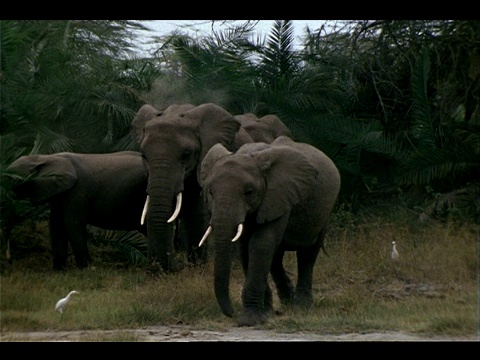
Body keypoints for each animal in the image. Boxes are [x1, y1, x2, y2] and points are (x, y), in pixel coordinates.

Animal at [5, 150, 148, 272]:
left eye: (12, 179)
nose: (9, 261)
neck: (45, 158)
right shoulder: (59, 193)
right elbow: (56, 225)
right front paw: (59, 271)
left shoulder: (77, 190)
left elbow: (72, 224)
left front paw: (85, 270)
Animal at [199, 136, 342, 328]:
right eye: (211, 193)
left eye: (249, 192)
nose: (231, 313)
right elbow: (246, 249)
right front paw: (264, 314)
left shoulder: (278, 196)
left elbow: (260, 244)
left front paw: (250, 321)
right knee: (276, 257)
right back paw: (287, 302)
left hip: (324, 210)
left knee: (307, 254)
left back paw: (301, 307)